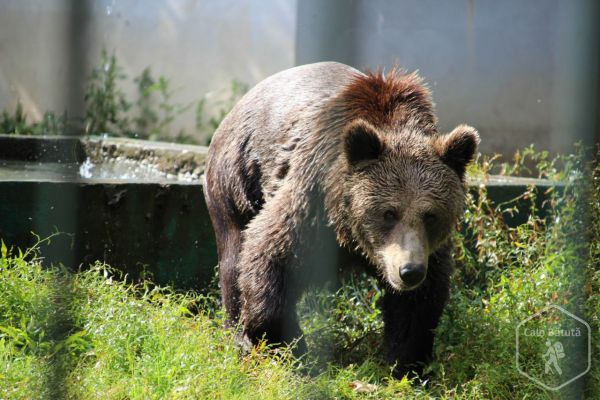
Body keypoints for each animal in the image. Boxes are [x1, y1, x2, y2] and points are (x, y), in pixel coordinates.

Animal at [204, 61, 480, 378]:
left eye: (431, 215)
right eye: (389, 212)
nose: (408, 271)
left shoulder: (426, 249)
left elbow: (420, 304)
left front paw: (406, 363)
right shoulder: (312, 197)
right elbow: (269, 253)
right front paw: (291, 346)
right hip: (236, 182)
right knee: (233, 257)